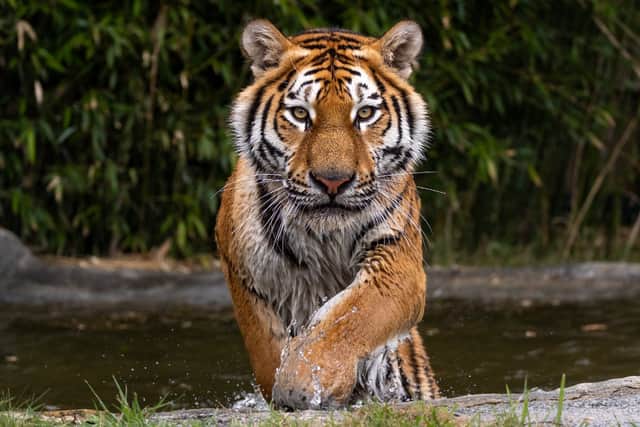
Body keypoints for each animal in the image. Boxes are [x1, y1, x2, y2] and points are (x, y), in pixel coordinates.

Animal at [215, 19, 439, 410]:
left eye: (364, 113)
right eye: (300, 114)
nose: (332, 181)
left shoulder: (397, 261)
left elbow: (351, 317)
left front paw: (307, 381)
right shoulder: (241, 270)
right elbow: (266, 346)